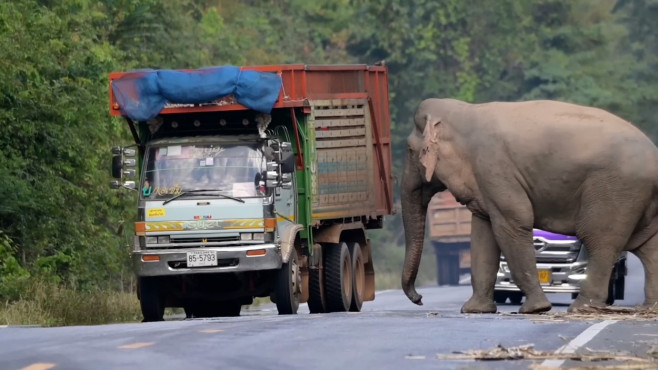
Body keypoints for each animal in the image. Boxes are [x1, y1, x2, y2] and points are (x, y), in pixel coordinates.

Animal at [398, 97, 656, 312]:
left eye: (410, 151)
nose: (419, 299)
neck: (465, 111)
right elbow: (482, 234)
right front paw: (474, 310)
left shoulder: (495, 168)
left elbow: (512, 224)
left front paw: (535, 309)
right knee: (648, 246)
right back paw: (649, 308)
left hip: (617, 191)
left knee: (600, 241)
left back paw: (580, 309)